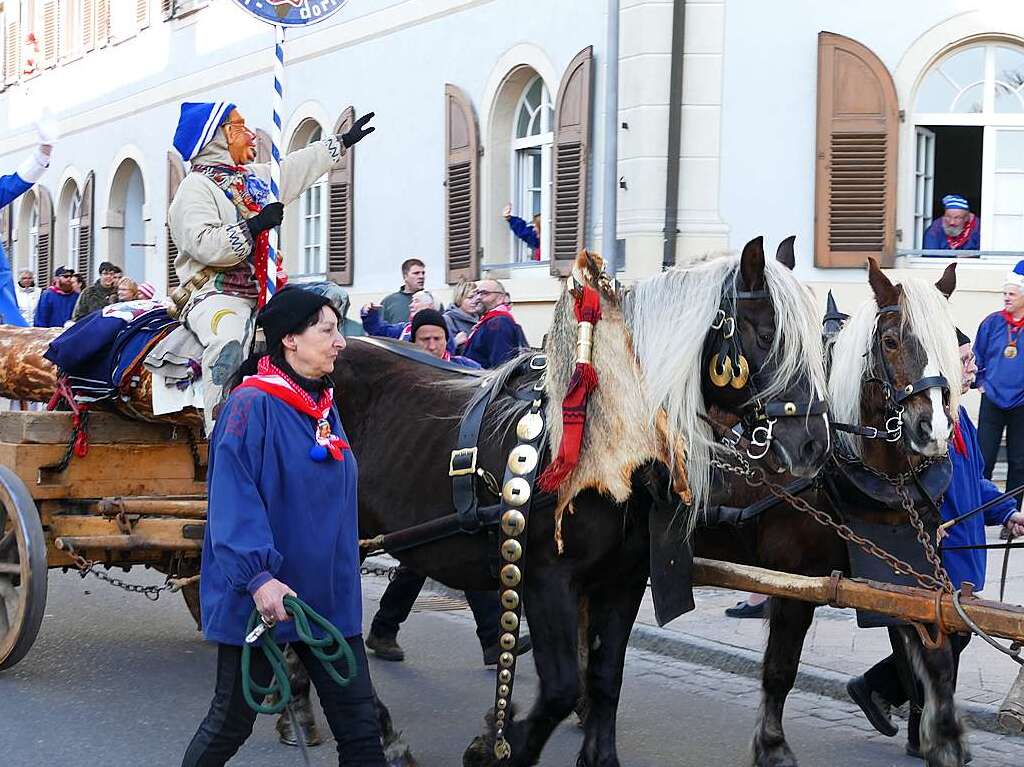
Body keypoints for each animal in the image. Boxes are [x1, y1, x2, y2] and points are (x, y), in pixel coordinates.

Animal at [335, 236, 831, 761]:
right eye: (767, 336)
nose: (814, 445)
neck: (610, 446)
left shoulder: (623, 581)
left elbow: (605, 679)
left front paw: (592, 752)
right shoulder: (547, 580)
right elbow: (560, 689)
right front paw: (498, 744)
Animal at [692, 259, 962, 765]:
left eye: (950, 343)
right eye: (890, 341)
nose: (932, 430)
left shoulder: (902, 571)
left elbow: (933, 654)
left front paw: (944, 737)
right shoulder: (795, 582)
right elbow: (780, 669)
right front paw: (772, 747)